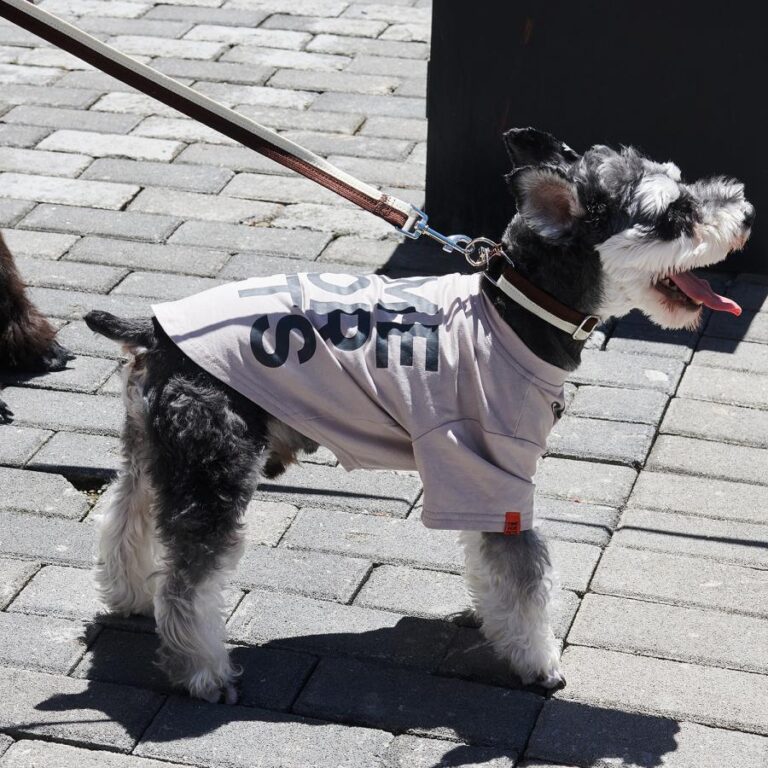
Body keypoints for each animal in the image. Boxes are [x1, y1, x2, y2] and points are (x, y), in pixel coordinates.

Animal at [82, 129, 752, 704]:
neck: (520, 312)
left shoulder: (476, 479)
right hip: (214, 471)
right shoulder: (499, 469)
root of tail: (155, 332)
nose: (744, 216)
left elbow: (489, 561)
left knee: (123, 519)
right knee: (189, 583)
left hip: (153, 453)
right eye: (674, 215)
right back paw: (201, 671)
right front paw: (538, 661)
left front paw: (490, 620)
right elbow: (526, 577)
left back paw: (128, 594)